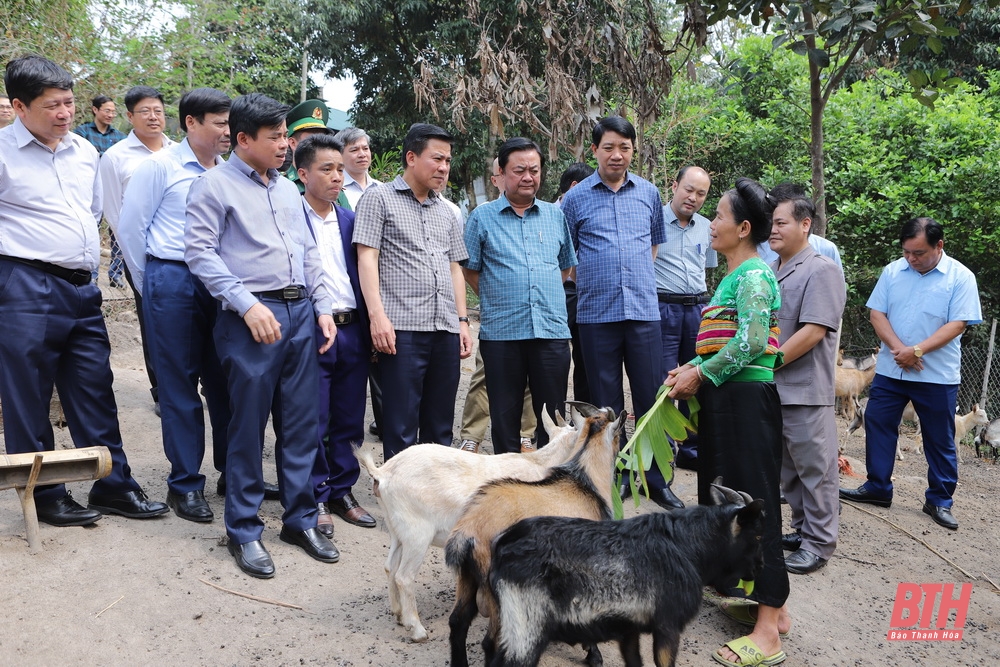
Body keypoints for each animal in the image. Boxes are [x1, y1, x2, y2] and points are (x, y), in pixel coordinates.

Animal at [354, 408, 584, 640]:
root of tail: (383, 474)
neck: (540, 465)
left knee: (389, 567)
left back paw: (399, 615)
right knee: (404, 577)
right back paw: (417, 629)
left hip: (397, 530)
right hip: (417, 534)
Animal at [446, 402, 624, 667]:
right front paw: (593, 654)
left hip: (468, 577)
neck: (585, 482)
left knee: (458, 623)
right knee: (493, 643)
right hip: (500, 591)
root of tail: (469, 530)